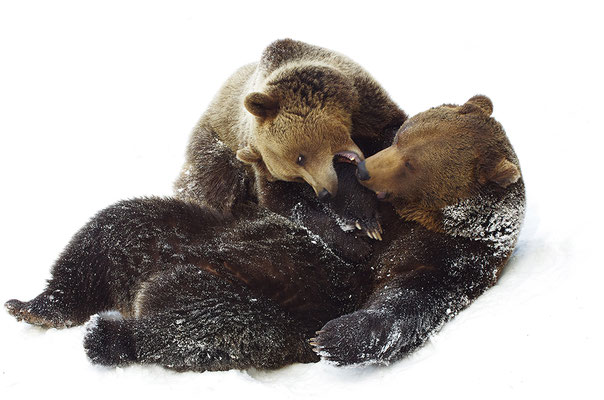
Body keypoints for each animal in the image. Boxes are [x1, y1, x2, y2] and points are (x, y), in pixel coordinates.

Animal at [173, 38, 406, 250]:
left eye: (300, 157)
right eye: (296, 176)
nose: (324, 192)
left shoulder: (371, 109)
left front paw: (366, 220)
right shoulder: (263, 169)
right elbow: (286, 204)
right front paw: (354, 239)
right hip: (217, 149)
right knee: (210, 185)